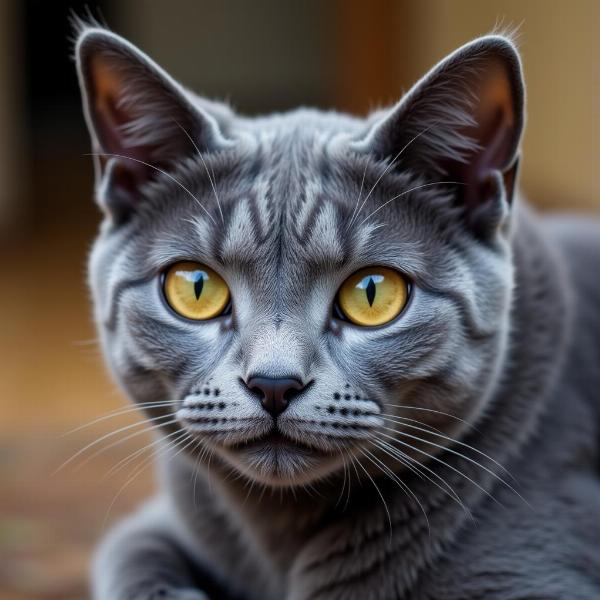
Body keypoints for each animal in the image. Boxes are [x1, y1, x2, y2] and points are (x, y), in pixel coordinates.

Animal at [75, 19, 600, 600]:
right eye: (195, 288)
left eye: (372, 293)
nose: (274, 384)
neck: (277, 537)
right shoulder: (153, 526)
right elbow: (131, 559)